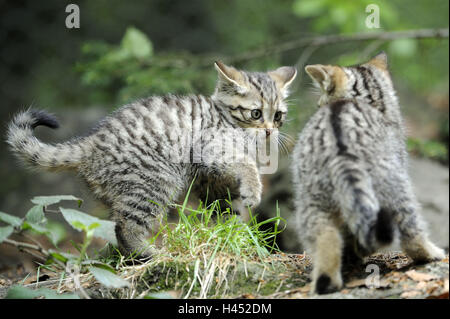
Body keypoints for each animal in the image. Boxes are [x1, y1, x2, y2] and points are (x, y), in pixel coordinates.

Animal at [7, 62, 296, 260]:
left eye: (278, 116)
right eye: (256, 113)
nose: (270, 131)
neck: (227, 118)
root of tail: (90, 142)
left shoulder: (211, 181)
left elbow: (225, 208)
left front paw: (232, 236)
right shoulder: (209, 147)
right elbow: (245, 165)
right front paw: (253, 189)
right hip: (153, 183)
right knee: (125, 227)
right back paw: (149, 253)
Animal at [290, 52, 444, 296]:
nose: (318, 105)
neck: (364, 99)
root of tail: (340, 149)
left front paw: (355, 254)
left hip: (313, 200)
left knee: (326, 236)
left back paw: (327, 280)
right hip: (394, 186)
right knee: (410, 231)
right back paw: (429, 253)